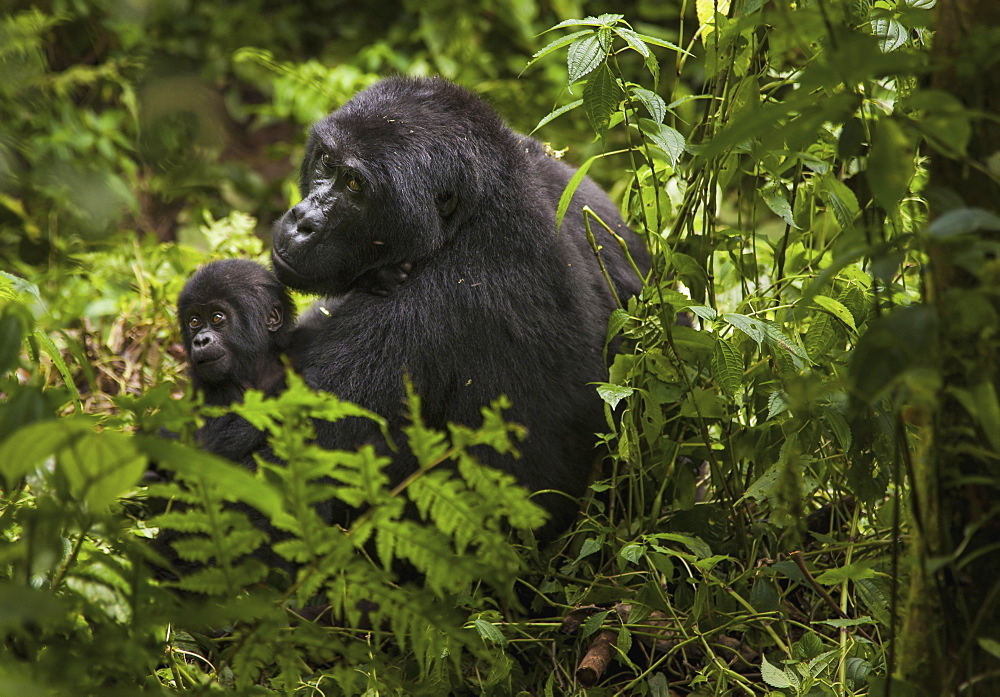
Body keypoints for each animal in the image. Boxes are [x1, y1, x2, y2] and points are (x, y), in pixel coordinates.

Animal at [272, 77, 648, 540]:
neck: (474, 212)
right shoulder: (569, 183)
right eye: (325, 160)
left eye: (355, 184)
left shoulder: (426, 306)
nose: (302, 221)